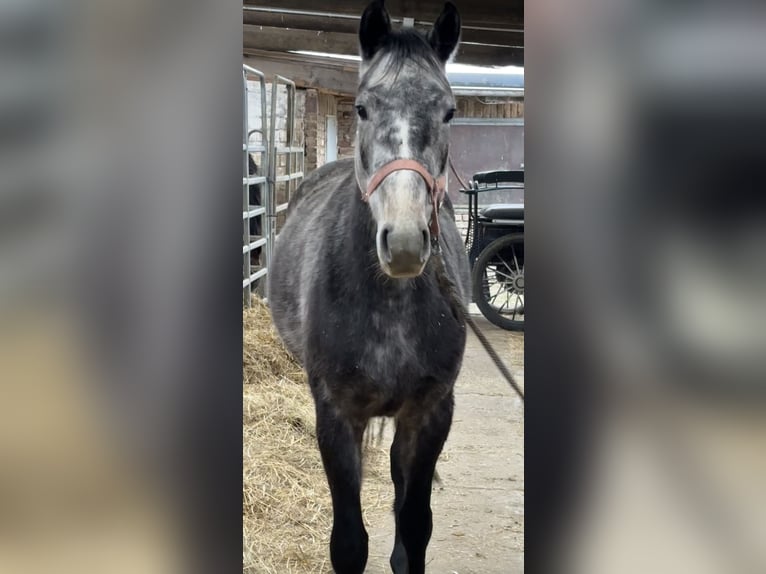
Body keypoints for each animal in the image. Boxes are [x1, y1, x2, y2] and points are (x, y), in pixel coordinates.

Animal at [268, 2, 467, 572]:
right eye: (361, 108)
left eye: (449, 111)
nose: (402, 242)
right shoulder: (337, 417)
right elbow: (349, 542)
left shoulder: (430, 414)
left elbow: (414, 527)